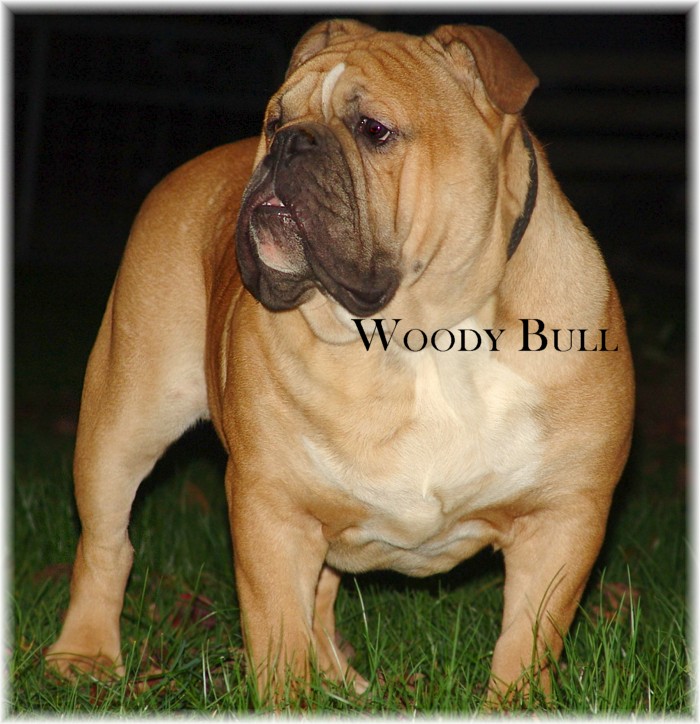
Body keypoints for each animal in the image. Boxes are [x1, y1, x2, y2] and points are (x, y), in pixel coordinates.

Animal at [46, 19, 634, 704]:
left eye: (373, 129)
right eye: (274, 120)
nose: (286, 144)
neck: (423, 339)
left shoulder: (563, 517)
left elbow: (528, 639)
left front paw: (516, 704)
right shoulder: (271, 506)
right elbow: (277, 630)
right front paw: (285, 701)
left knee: (321, 594)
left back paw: (338, 678)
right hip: (122, 423)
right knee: (106, 543)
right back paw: (83, 656)